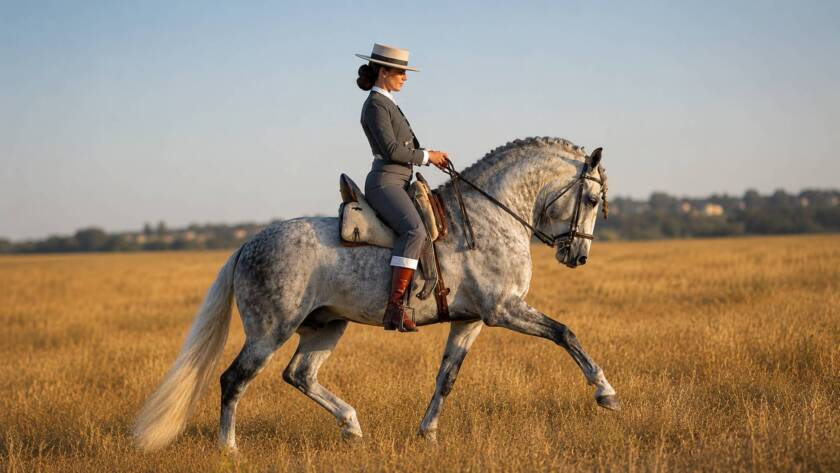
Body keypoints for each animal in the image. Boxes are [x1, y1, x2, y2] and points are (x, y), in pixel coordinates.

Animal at [133, 136, 620, 452]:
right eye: (592, 199)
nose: (577, 256)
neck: (488, 218)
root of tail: (247, 244)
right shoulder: (504, 310)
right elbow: (565, 333)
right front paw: (605, 393)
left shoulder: (471, 319)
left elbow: (447, 377)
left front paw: (427, 434)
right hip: (270, 331)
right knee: (234, 379)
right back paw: (229, 449)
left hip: (326, 326)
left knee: (299, 375)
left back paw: (352, 428)